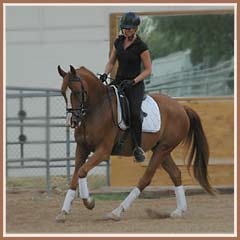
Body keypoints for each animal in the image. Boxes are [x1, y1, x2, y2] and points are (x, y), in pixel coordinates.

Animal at [55, 64, 213, 222]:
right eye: (63, 93)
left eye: (76, 92)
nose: (72, 121)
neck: (96, 108)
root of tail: (181, 108)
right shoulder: (82, 148)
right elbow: (75, 175)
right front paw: (64, 212)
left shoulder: (103, 151)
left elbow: (82, 171)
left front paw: (89, 202)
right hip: (162, 150)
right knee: (176, 173)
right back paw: (179, 211)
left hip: (162, 149)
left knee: (146, 179)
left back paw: (117, 212)